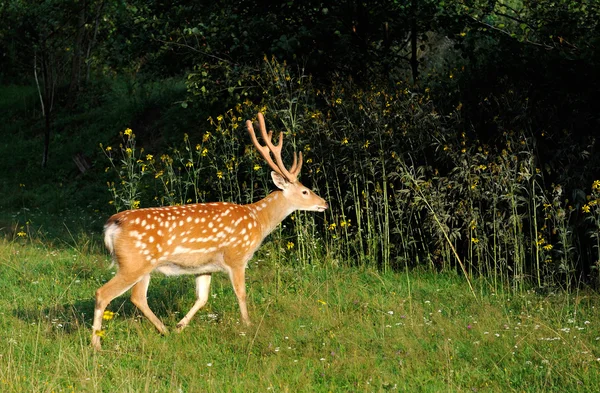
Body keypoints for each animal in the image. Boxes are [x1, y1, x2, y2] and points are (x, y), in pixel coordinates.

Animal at [92, 112, 328, 348]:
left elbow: (202, 298)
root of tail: (111, 225)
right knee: (103, 293)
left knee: (137, 297)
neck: (258, 220)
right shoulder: (236, 256)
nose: (324, 203)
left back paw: (165, 331)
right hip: (133, 263)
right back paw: (96, 344)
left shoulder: (204, 266)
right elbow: (241, 293)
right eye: (305, 191)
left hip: (143, 266)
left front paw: (180, 326)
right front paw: (248, 325)